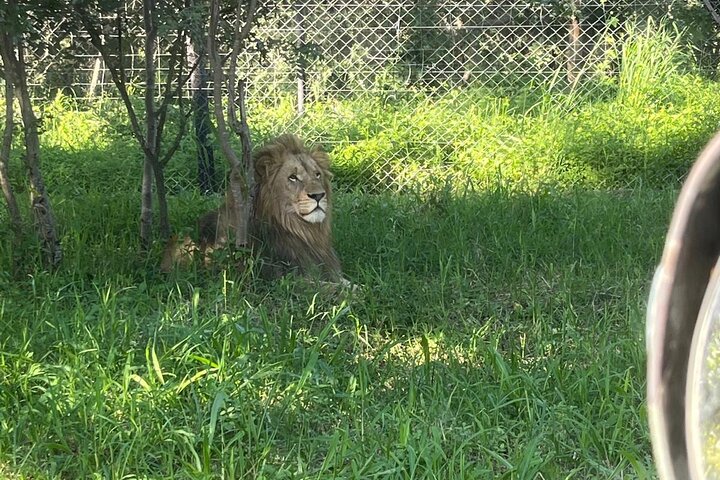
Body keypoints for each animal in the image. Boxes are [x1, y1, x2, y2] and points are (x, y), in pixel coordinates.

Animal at [163, 134, 347, 285]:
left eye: (317, 174)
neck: (303, 232)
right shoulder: (287, 280)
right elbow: (342, 291)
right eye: (292, 177)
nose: (319, 195)